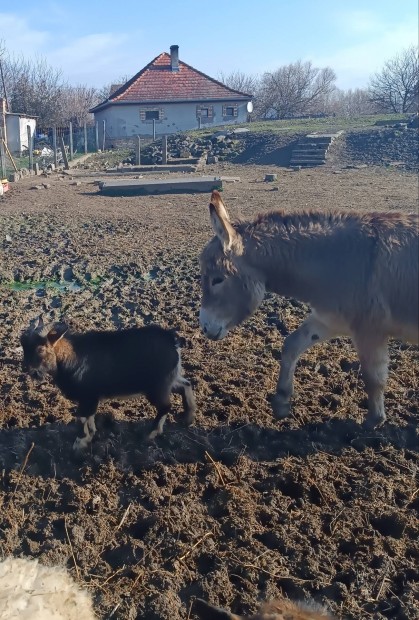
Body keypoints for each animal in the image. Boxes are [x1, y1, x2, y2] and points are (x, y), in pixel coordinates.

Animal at [19, 320, 197, 450]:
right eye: (23, 345)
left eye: (41, 349)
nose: (30, 370)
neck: (70, 358)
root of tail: (171, 340)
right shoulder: (90, 399)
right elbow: (89, 416)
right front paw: (91, 435)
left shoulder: (88, 396)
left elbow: (81, 417)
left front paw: (80, 442)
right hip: (170, 379)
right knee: (185, 385)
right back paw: (188, 418)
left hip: (157, 387)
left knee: (165, 406)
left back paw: (150, 434)